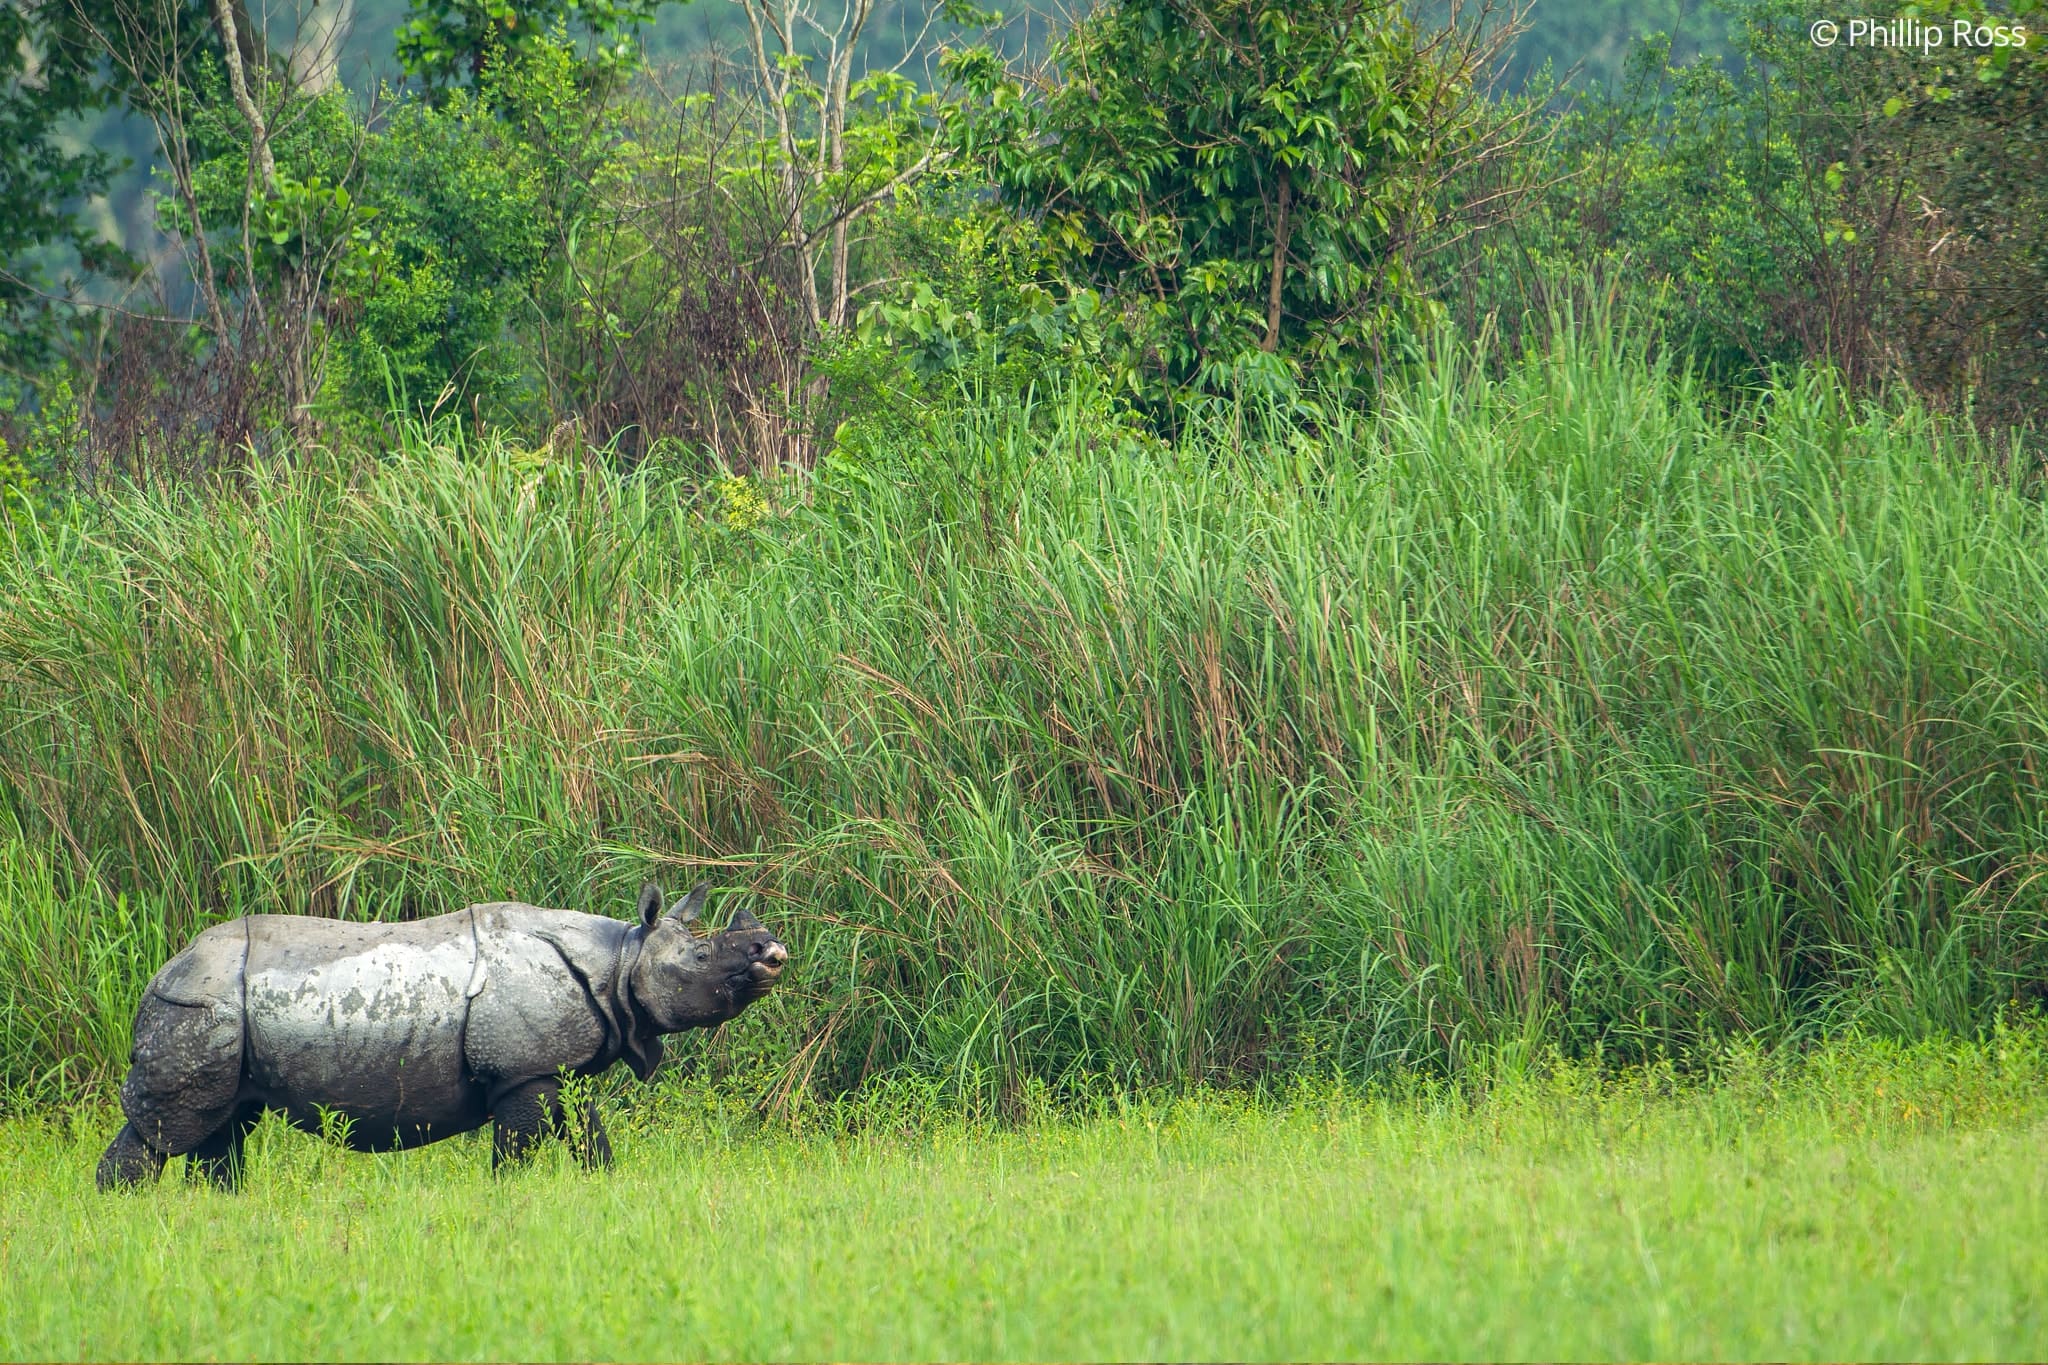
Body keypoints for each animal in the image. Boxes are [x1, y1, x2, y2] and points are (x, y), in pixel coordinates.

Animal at [96, 888, 786, 1186]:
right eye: (702, 959)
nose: (774, 953)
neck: (620, 958)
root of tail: (164, 970)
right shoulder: (520, 1072)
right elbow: (518, 1149)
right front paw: (510, 1200)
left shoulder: (557, 1066)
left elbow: (590, 1136)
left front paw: (604, 1188)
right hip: (198, 1006)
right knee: (169, 1131)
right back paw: (125, 1212)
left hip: (224, 1018)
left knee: (225, 1125)